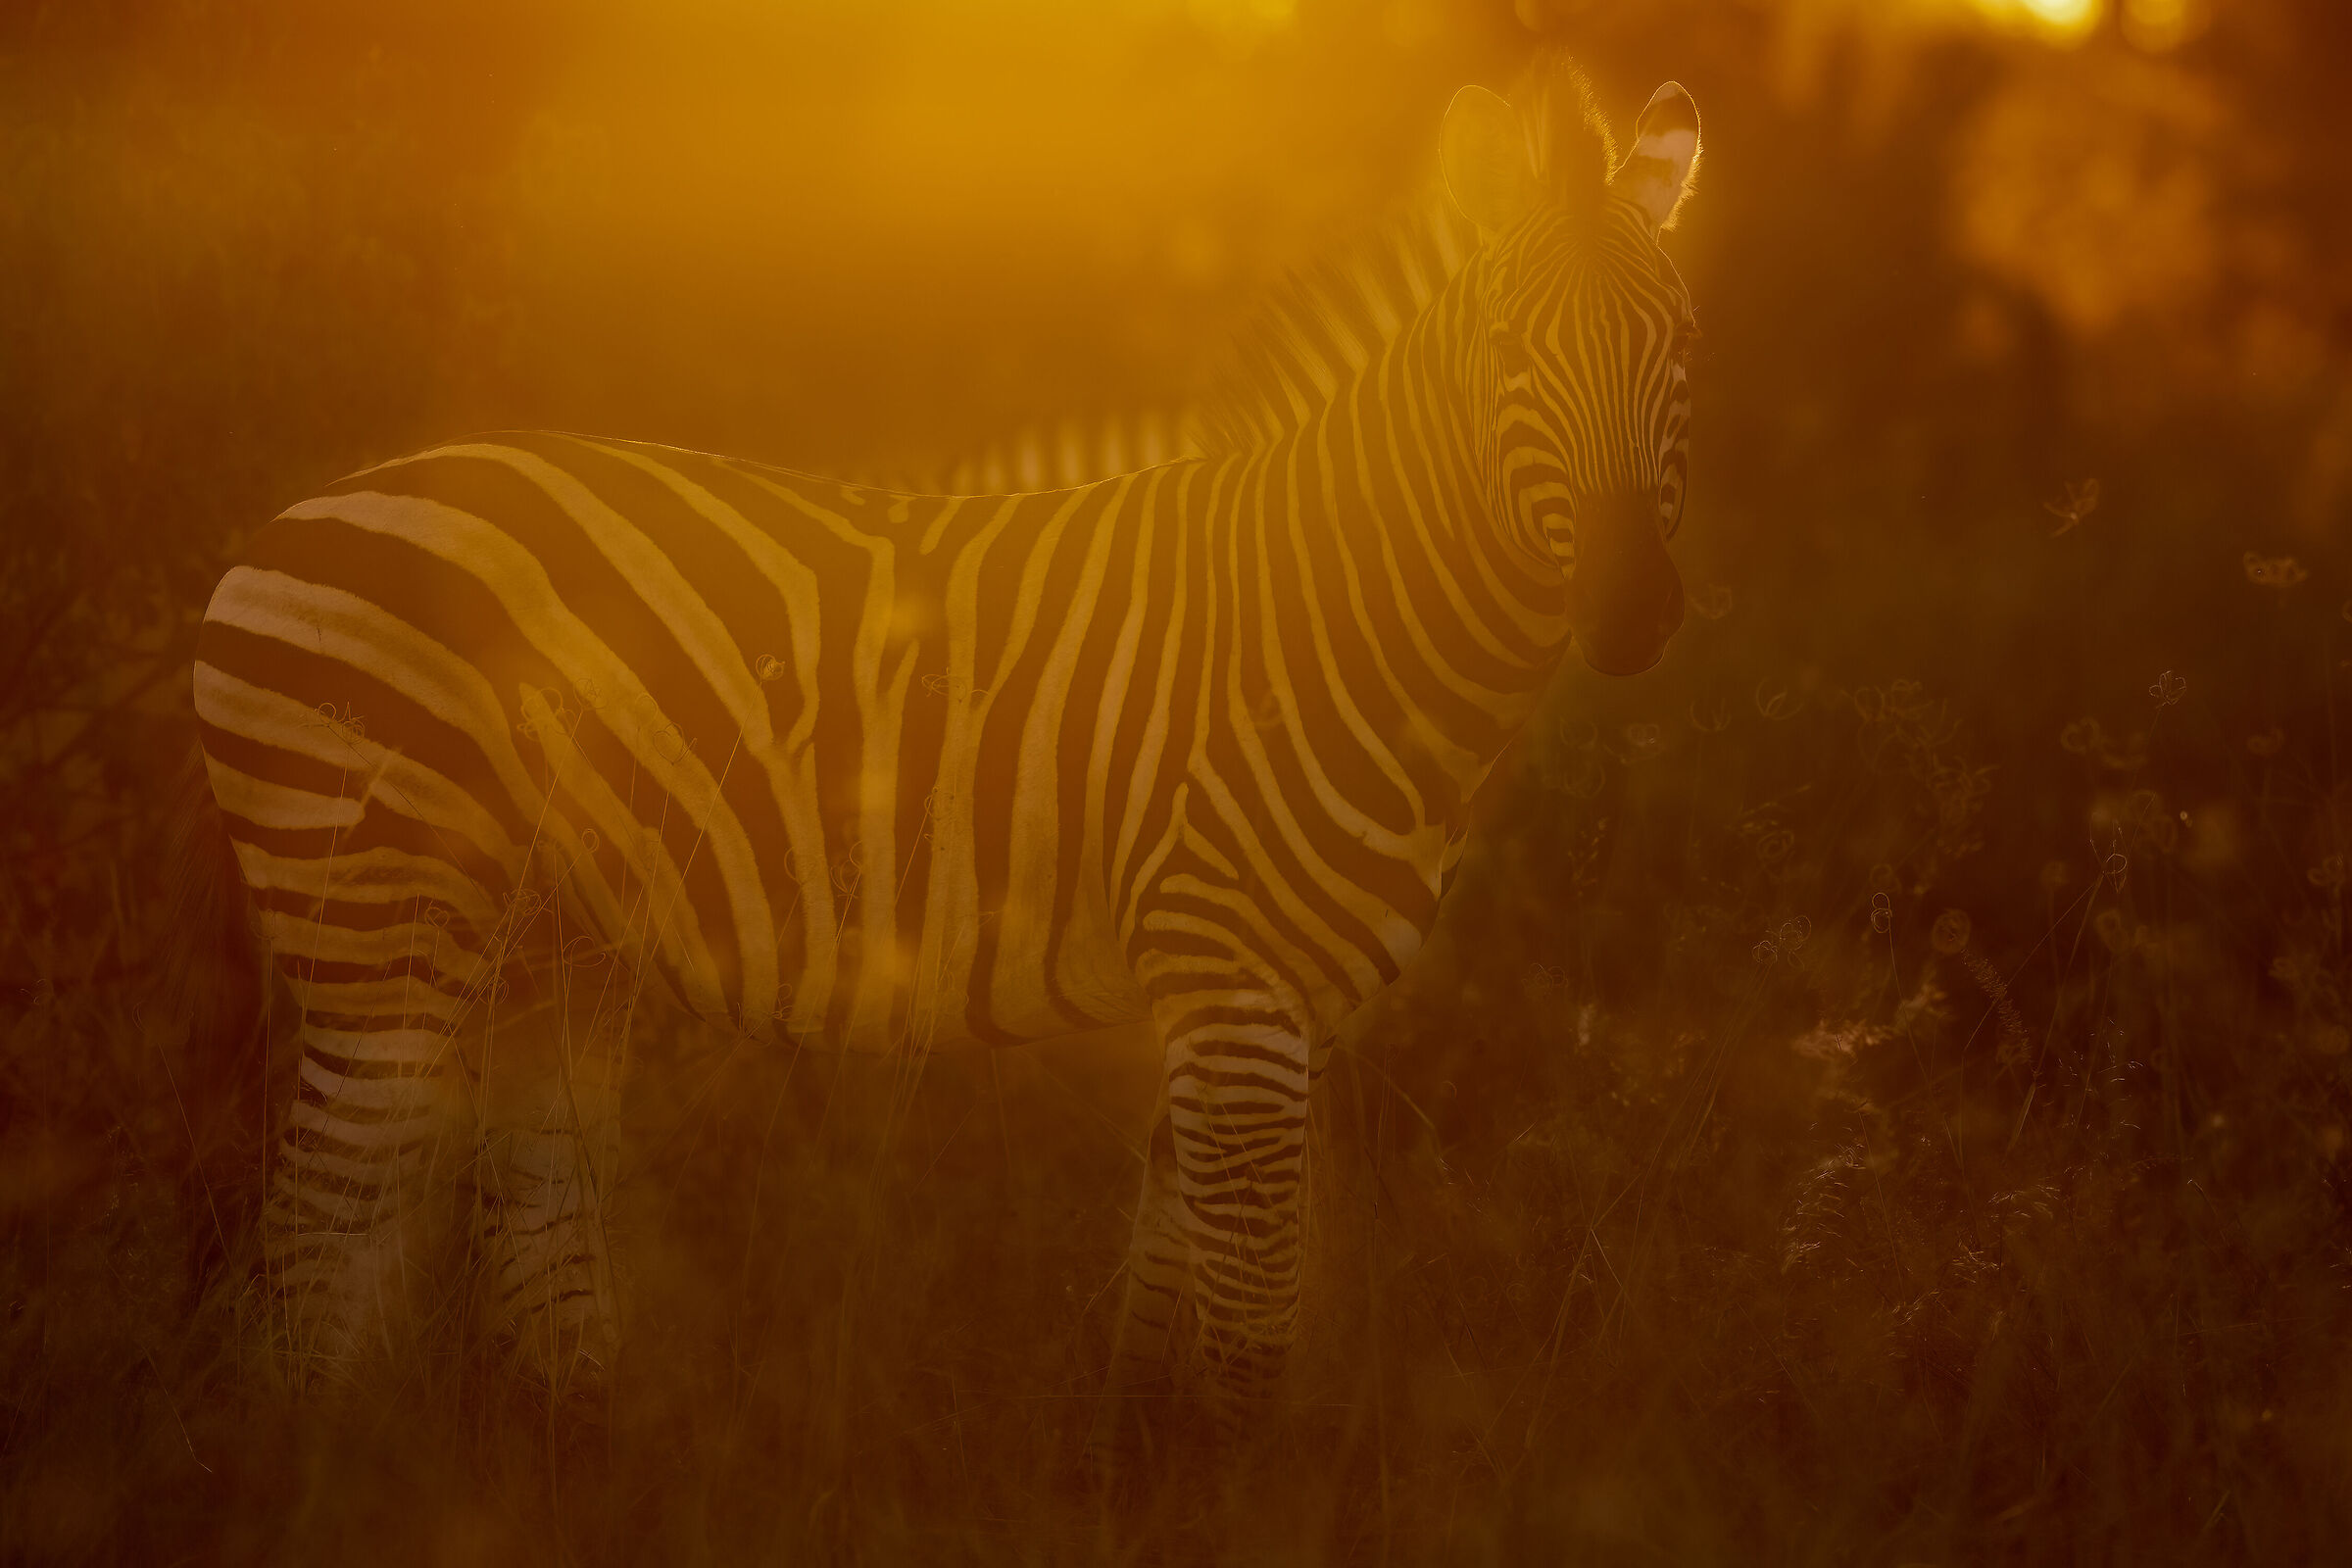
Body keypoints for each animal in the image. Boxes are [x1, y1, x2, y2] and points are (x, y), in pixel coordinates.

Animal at [188, 54, 1702, 1429]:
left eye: (1683, 352)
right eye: (1509, 353)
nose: (1632, 611)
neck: (1335, 620)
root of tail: (279, 527)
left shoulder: (1252, 997)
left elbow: (1172, 1294)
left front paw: (1140, 1467)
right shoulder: (1233, 984)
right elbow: (1249, 1328)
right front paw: (1235, 1489)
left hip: (549, 940)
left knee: (527, 1183)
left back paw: (571, 1443)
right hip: (384, 914)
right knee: (324, 1222)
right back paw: (320, 1465)